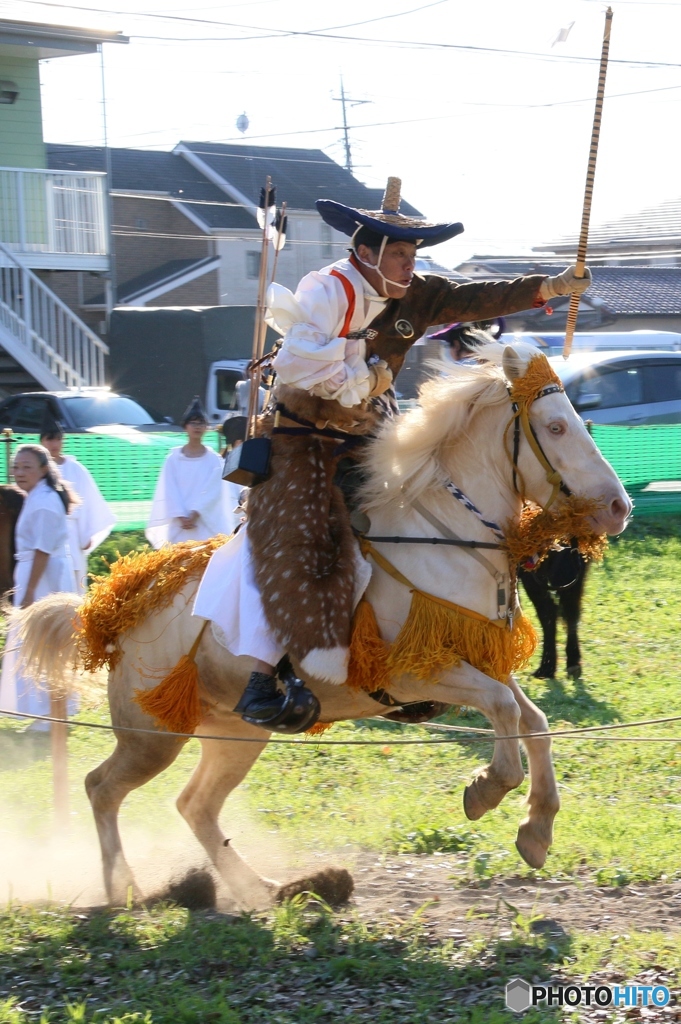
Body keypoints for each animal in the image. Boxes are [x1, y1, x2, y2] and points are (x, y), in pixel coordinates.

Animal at [13, 348, 630, 909]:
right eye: (555, 426)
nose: (618, 508)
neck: (442, 539)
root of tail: (115, 608)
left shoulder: (477, 661)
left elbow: (533, 719)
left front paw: (537, 829)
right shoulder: (415, 674)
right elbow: (505, 711)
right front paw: (487, 789)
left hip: (233, 733)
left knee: (195, 806)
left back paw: (262, 889)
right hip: (151, 734)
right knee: (101, 788)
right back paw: (126, 891)